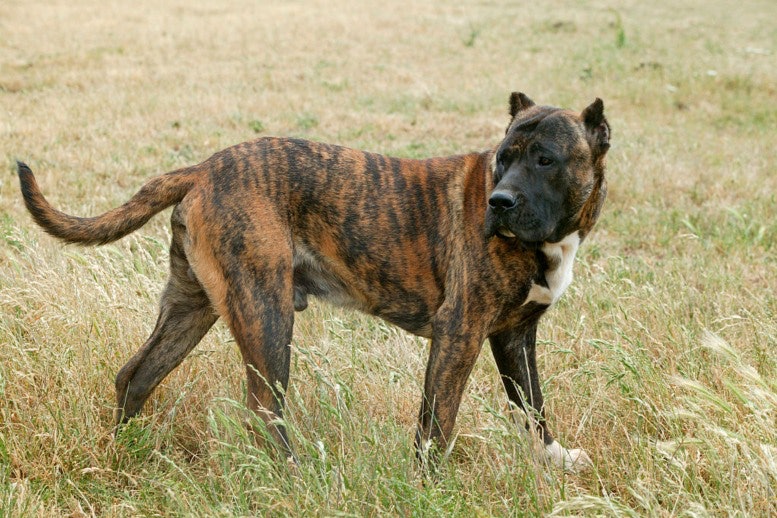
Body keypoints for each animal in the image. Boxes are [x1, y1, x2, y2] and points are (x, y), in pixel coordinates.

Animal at [16, 92, 608, 472]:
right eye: (503, 159)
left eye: (545, 159)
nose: (498, 202)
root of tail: (202, 168)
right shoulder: (459, 333)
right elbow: (436, 421)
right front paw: (430, 483)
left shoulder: (514, 337)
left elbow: (532, 407)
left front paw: (554, 460)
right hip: (266, 313)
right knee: (263, 409)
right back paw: (296, 476)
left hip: (193, 307)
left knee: (135, 376)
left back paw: (123, 450)